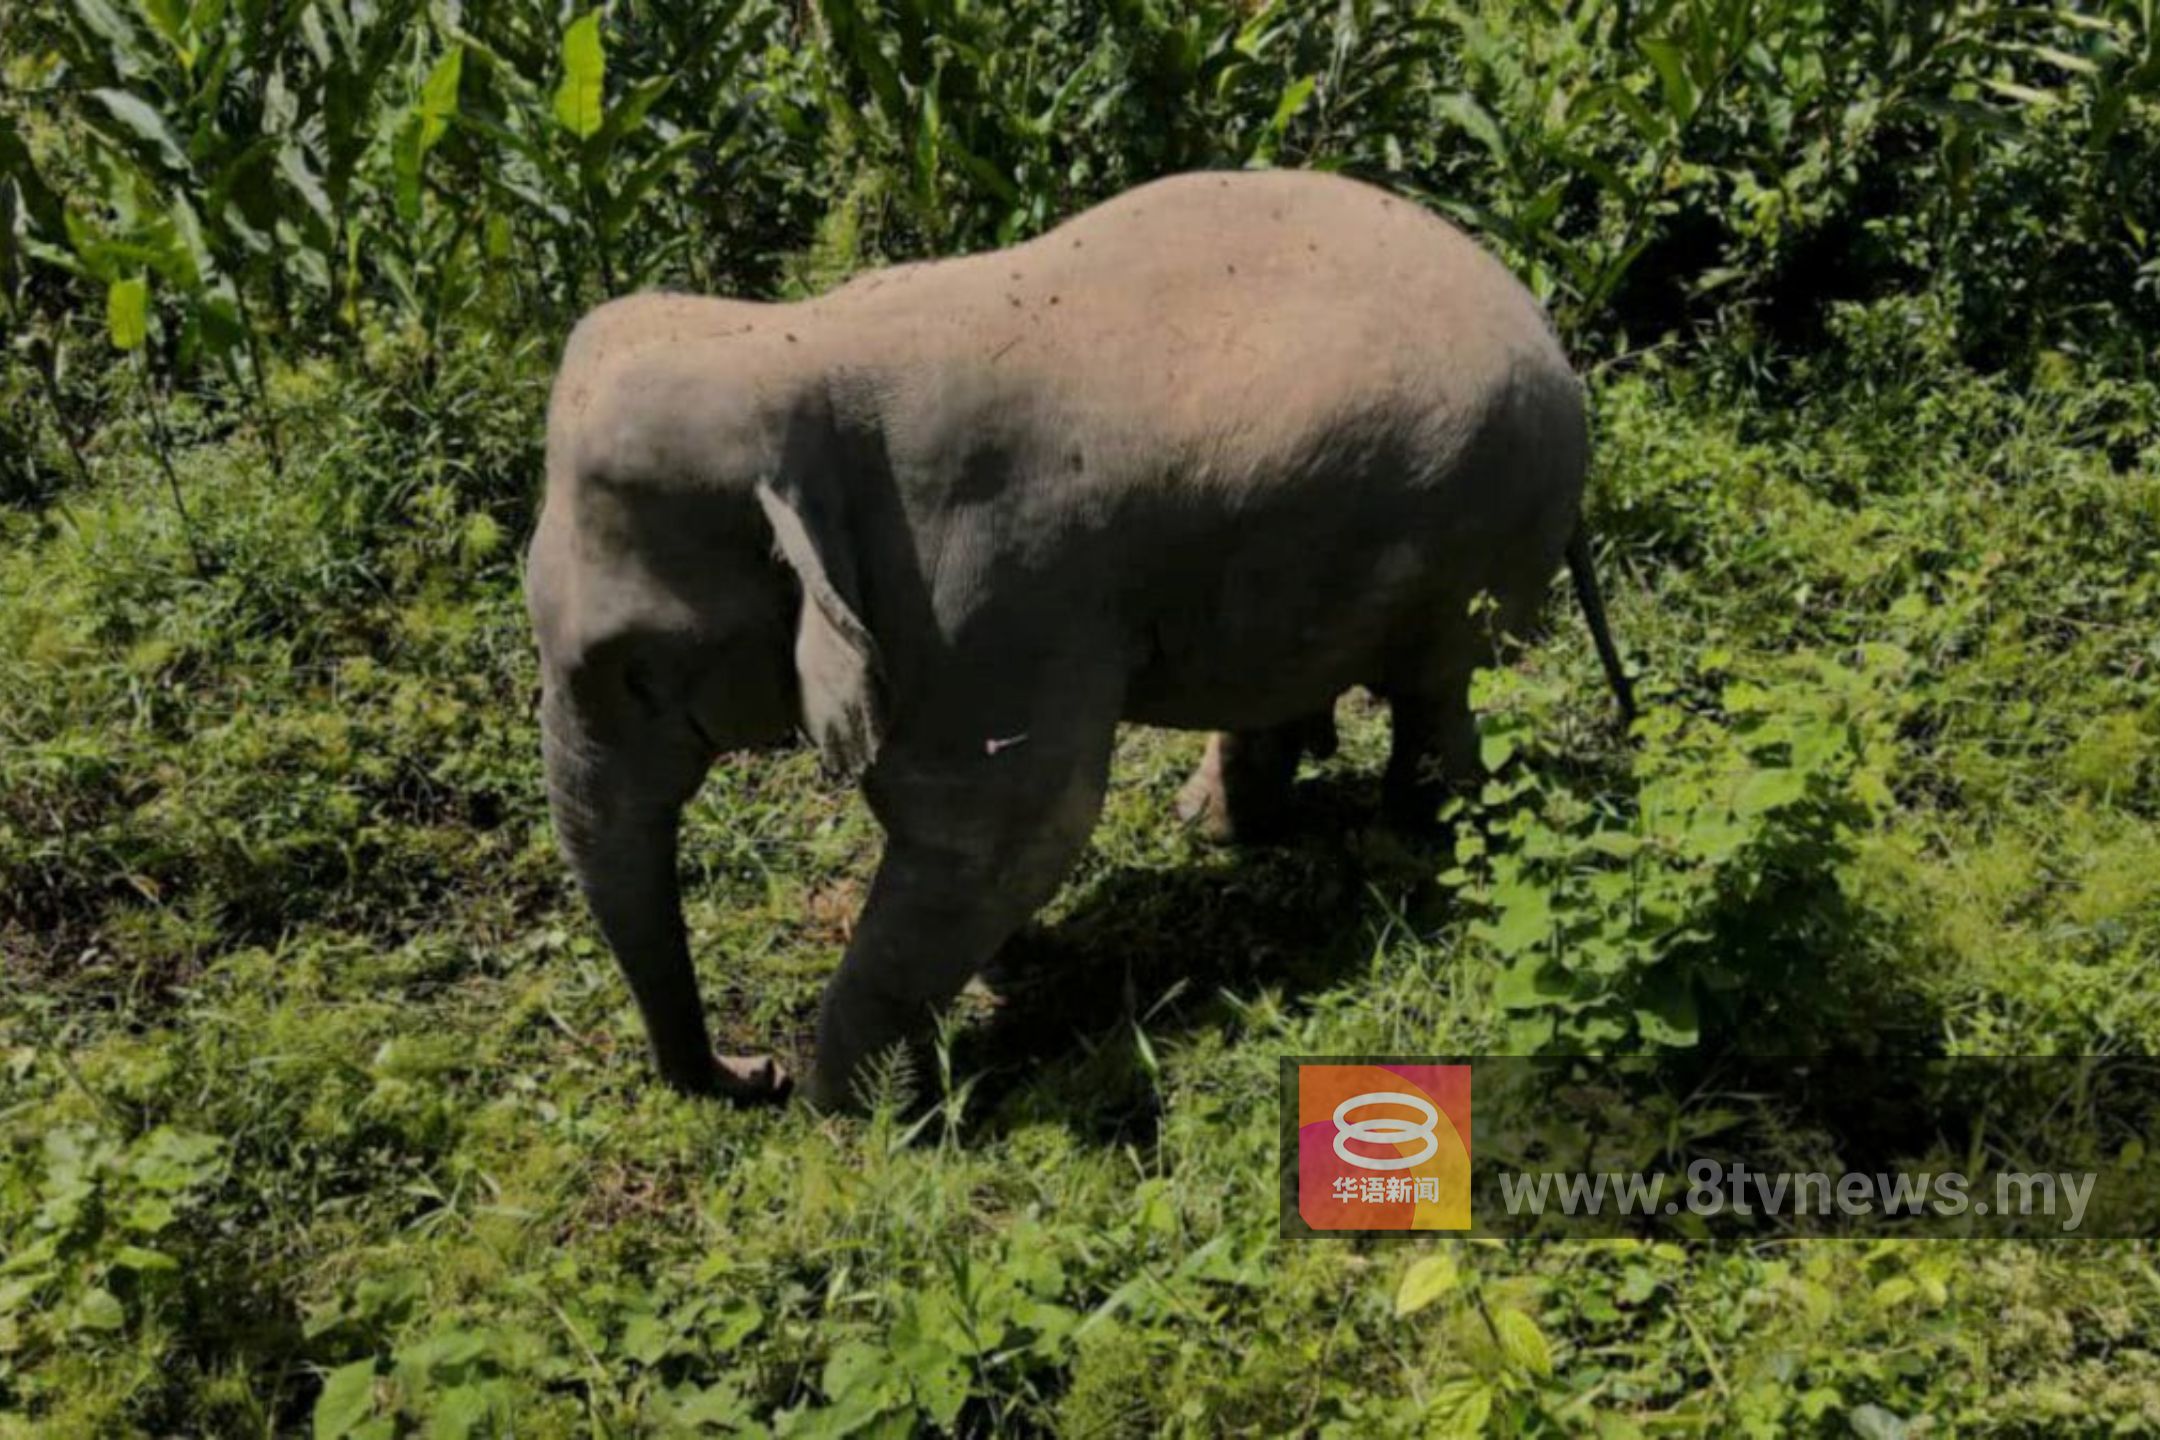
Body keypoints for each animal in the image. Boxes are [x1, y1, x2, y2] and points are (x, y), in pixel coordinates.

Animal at [527, 171, 1632, 1114]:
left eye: (637, 672)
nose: (751, 1071)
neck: (793, 350)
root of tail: (1544, 325)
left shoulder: (979, 598)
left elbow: (1008, 831)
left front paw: (847, 1113)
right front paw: (999, 979)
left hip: (1482, 524)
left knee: (1435, 688)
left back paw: (1416, 840)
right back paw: (1220, 827)